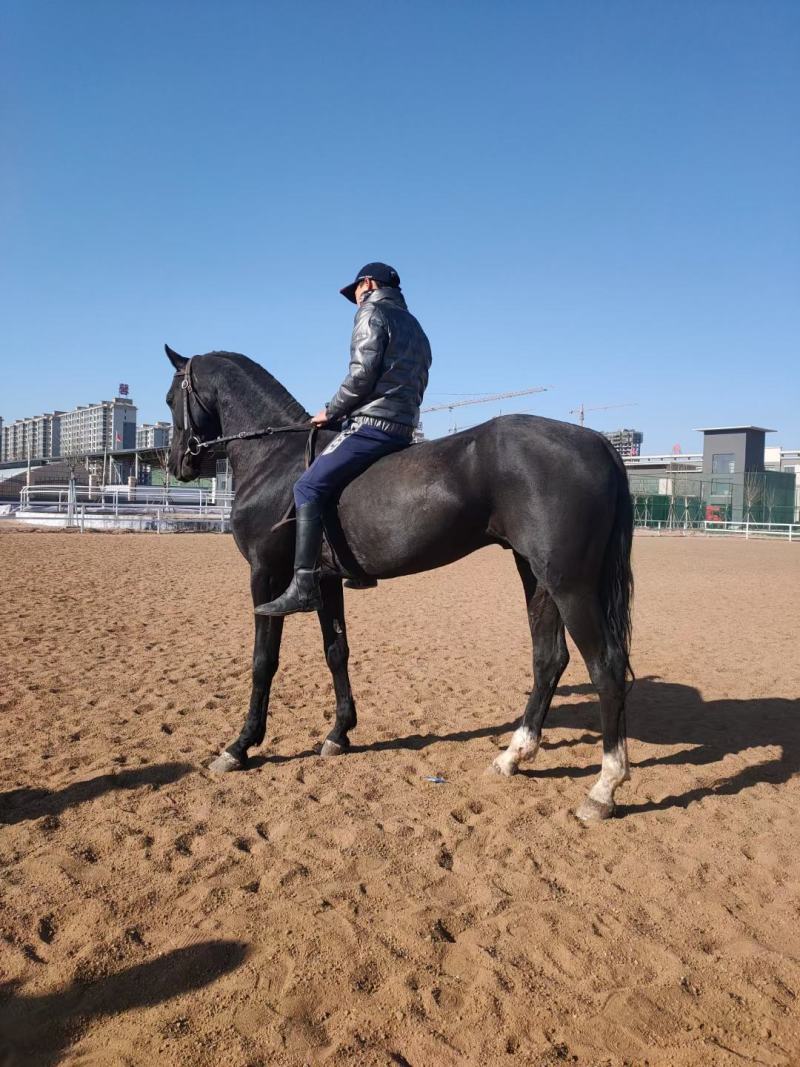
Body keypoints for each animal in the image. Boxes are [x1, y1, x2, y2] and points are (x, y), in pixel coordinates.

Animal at [163, 346, 634, 821]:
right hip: (536, 575)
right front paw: (339, 734)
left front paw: (240, 746)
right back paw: (513, 756)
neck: (275, 458)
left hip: (570, 583)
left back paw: (603, 789)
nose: (177, 462)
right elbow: (336, 652)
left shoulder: (265, 575)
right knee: (549, 659)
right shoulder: (323, 582)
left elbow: (264, 660)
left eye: (170, 398)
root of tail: (598, 443)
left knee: (606, 667)